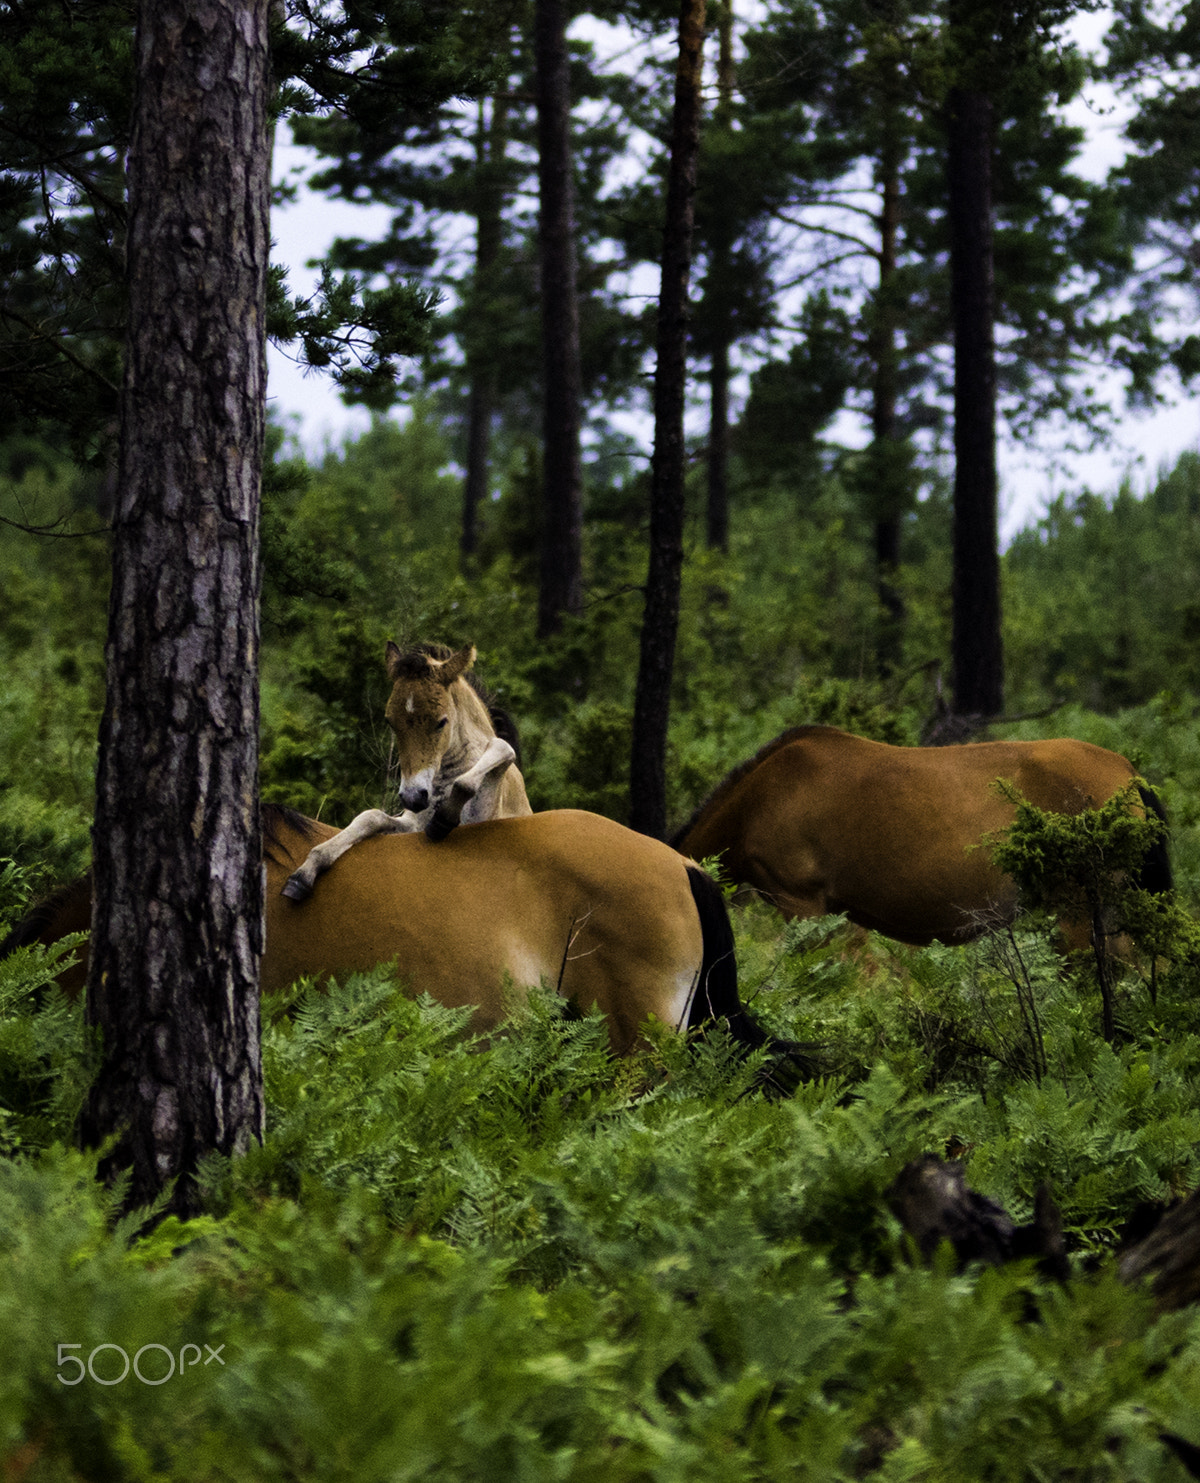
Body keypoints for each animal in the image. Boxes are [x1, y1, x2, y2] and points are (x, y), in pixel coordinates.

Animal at [280, 640, 528, 901]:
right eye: (391, 722)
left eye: (441, 722)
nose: (413, 796)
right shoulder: (413, 827)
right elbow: (370, 817)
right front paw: (303, 874)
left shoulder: (488, 817)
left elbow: (499, 749)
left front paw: (444, 819)